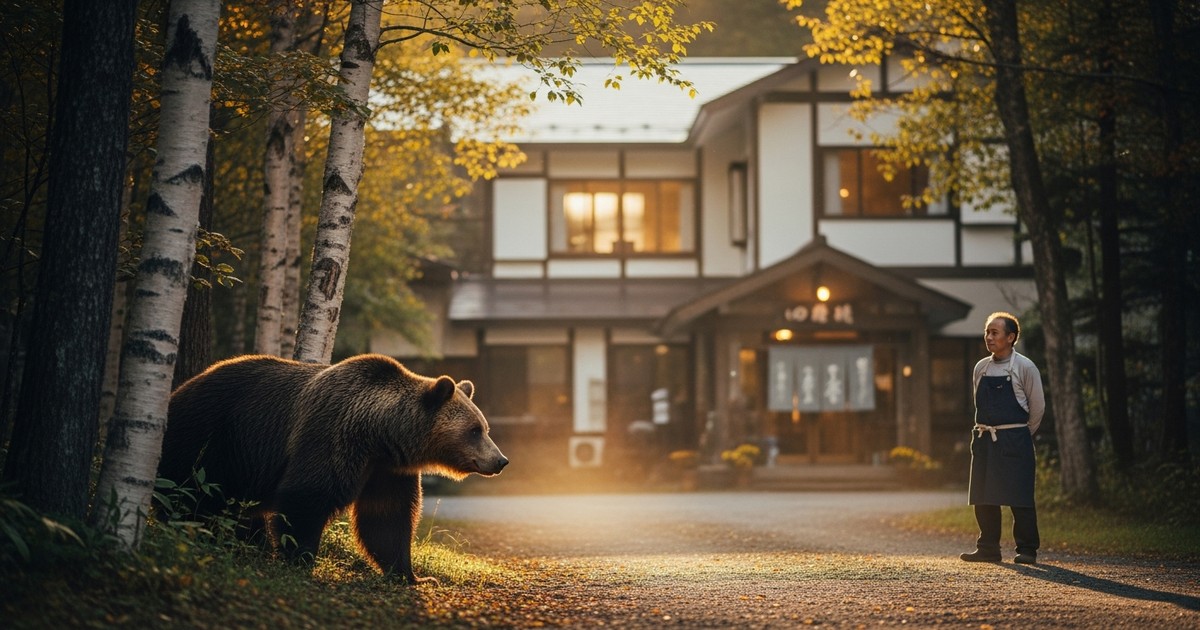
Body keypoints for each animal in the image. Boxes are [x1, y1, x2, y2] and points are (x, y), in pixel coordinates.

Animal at [156, 353, 508, 584]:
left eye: (485, 428)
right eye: (474, 430)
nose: (500, 460)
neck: (379, 433)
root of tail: (177, 391)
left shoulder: (386, 470)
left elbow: (387, 517)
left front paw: (409, 575)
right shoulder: (331, 437)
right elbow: (307, 497)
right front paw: (300, 559)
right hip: (211, 438)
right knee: (190, 496)